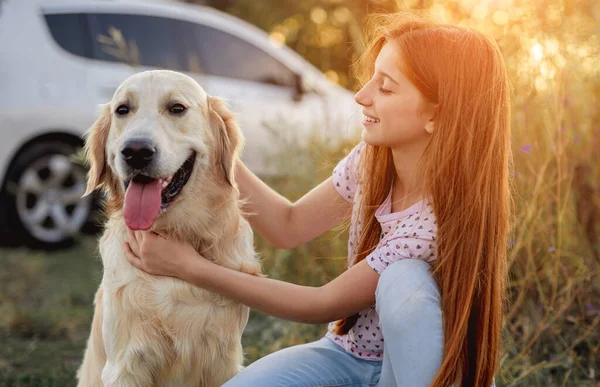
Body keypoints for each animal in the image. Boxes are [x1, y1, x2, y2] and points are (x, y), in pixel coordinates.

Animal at [76, 70, 262, 387]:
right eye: (122, 110)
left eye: (177, 108)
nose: (136, 151)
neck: (175, 233)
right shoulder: (124, 365)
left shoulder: (223, 361)